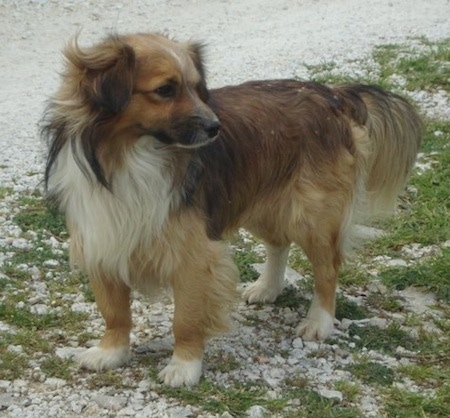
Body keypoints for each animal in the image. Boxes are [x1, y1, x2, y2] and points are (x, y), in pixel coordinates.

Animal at [41, 31, 422, 386]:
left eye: (197, 88)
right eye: (166, 90)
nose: (215, 127)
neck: (131, 156)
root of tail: (332, 94)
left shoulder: (193, 255)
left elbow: (186, 319)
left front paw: (185, 365)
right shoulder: (102, 238)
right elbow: (114, 311)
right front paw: (112, 352)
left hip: (311, 215)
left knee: (327, 270)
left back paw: (319, 321)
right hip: (261, 199)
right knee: (278, 243)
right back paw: (268, 287)